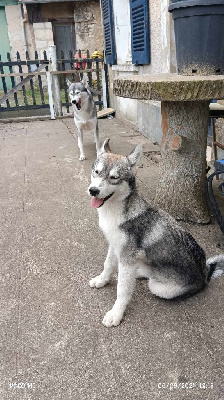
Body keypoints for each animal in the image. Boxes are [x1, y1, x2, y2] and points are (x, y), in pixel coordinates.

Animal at [88, 139, 223, 326]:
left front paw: (116, 313)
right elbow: (107, 265)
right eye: (96, 172)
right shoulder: (115, 247)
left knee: (150, 280)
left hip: (157, 287)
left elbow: (122, 290)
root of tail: (205, 274)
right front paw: (101, 280)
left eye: (114, 177)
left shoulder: (126, 256)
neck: (116, 212)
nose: (93, 190)